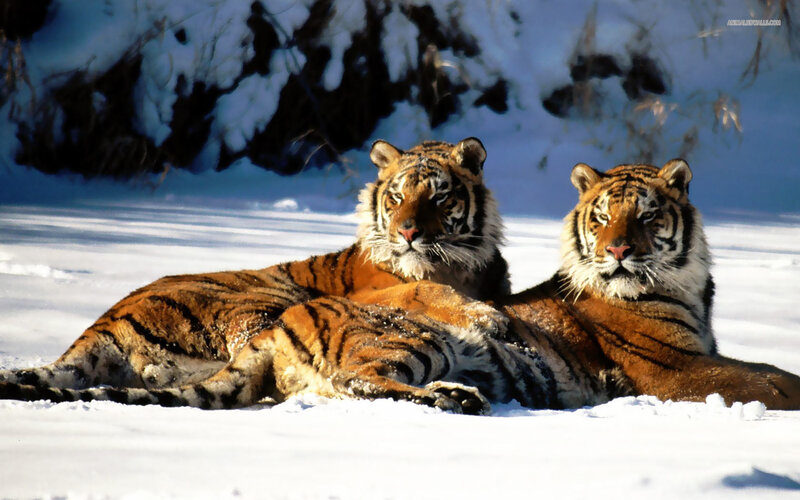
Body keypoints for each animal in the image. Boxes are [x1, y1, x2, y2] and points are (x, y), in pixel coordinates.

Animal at [0, 137, 510, 400]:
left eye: (439, 197)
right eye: (398, 196)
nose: (407, 233)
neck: (458, 266)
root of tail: (102, 323)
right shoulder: (376, 294)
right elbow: (424, 293)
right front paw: (487, 318)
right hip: (262, 302)